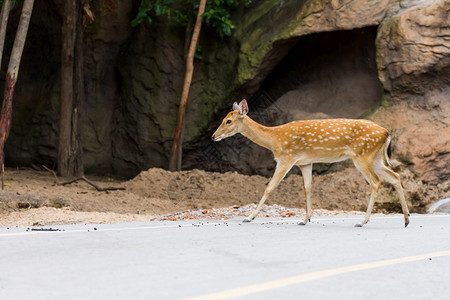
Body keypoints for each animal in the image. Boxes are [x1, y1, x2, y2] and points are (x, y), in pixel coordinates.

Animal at [211, 99, 408, 226]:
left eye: (228, 120)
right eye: (223, 119)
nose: (213, 136)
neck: (275, 140)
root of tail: (386, 133)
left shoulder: (286, 158)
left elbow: (270, 187)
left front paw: (249, 217)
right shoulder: (305, 162)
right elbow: (308, 188)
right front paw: (305, 219)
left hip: (362, 155)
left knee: (376, 182)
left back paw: (362, 221)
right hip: (375, 158)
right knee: (395, 176)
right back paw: (406, 219)